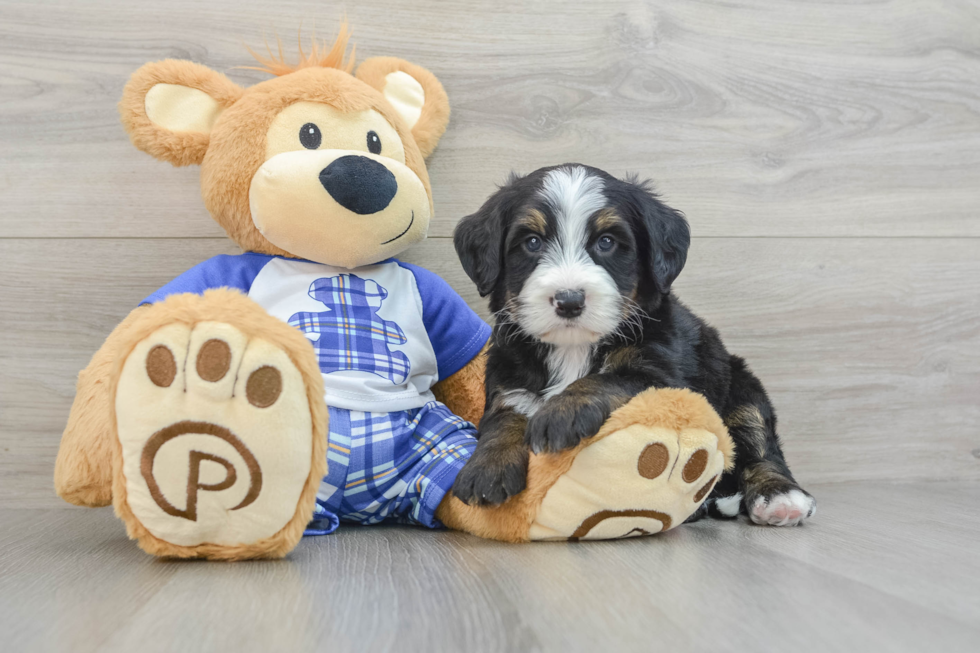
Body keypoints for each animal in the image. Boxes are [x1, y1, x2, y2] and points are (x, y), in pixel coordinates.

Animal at [456, 163, 816, 524]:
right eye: (532, 242)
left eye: (606, 242)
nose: (569, 300)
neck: (572, 348)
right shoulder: (509, 374)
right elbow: (505, 416)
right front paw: (486, 467)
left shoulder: (660, 375)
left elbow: (605, 380)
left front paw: (560, 414)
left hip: (742, 385)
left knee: (758, 441)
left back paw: (780, 497)